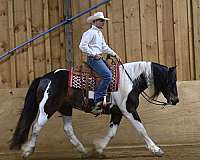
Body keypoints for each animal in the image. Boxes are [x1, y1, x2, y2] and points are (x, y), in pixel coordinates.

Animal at [9, 60, 179, 159]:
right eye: (170, 81)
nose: (176, 100)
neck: (130, 80)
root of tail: (44, 77)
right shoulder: (128, 110)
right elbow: (141, 129)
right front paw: (156, 149)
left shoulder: (117, 113)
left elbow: (111, 133)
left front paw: (99, 149)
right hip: (48, 108)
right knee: (37, 127)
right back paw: (27, 150)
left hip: (65, 108)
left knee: (68, 129)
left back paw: (83, 151)